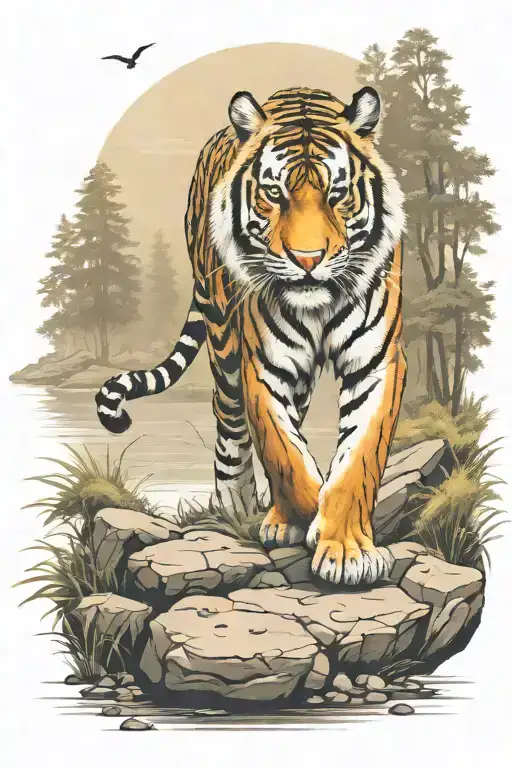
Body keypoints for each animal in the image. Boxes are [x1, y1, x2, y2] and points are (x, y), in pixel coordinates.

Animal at [95, 85, 406, 587]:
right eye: (275, 193)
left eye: (337, 194)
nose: (307, 259)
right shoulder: (263, 364)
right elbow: (285, 454)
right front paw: (301, 520)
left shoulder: (376, 362)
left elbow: (358, 458)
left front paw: (345, 550)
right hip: (222, 338)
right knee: (231, 424)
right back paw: (237, 505)